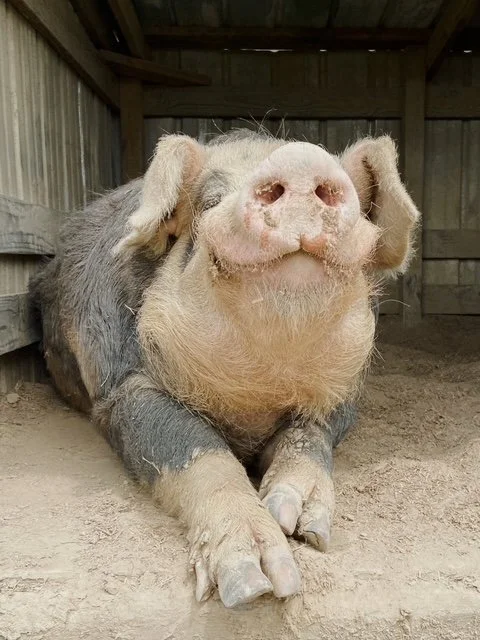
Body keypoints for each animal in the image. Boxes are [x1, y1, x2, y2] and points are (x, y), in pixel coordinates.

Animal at [30, 130, 420, 608]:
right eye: (211, 201)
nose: (301, 159)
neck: (260, 393)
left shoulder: (346, 393)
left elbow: (310, 436)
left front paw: (300, 525)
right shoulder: (120, 389)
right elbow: (192, 444)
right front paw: (261, 582)